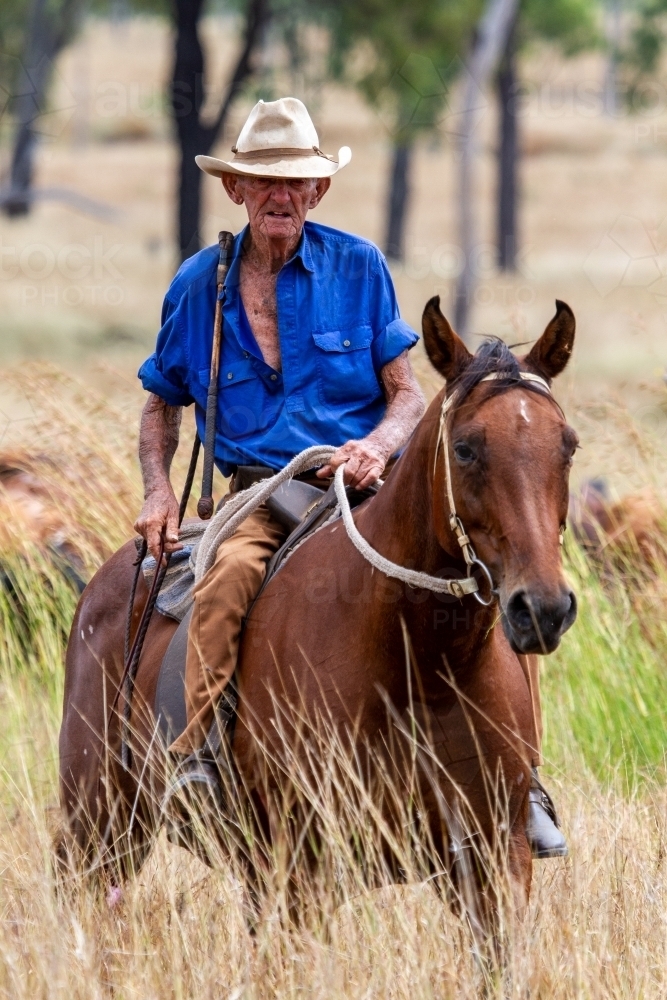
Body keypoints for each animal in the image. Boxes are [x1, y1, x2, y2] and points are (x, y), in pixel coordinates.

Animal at [58, 296, 580, 920]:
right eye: (465, 448)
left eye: (568, 446)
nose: (542, 608)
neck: (422, 663)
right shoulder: (303, 867)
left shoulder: (495, 863)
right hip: (99, 825)